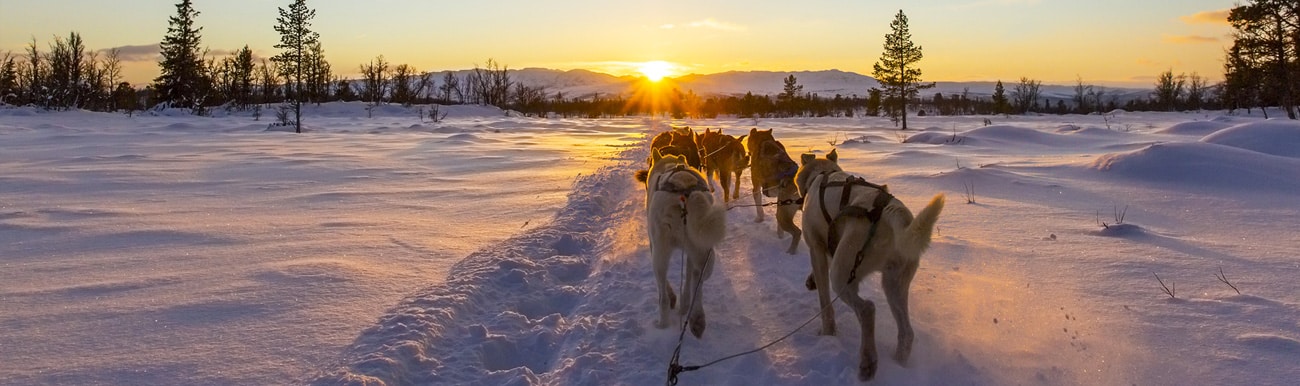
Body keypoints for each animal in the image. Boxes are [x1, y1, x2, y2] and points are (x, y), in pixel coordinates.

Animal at [634, 147, 728, 337]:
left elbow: (667, 287)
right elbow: (689, 279)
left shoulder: (653, 245)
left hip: (661, 253)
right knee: (697, 281)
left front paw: (673, 299)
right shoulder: (691, 254)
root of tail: (686, 192)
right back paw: (696, 318)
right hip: (704, 252)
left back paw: (663, 323)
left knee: (662, 293)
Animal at [790, 148, 946, 379]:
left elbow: (825, 303)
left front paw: (827, 333)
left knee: (867, 309)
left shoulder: (817, 248)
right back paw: (898, 364)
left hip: (843, 276)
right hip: (894, 283)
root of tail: (891, 212)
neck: (822, 174)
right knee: (906, 333)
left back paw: (868, 362)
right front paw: (811, 280)